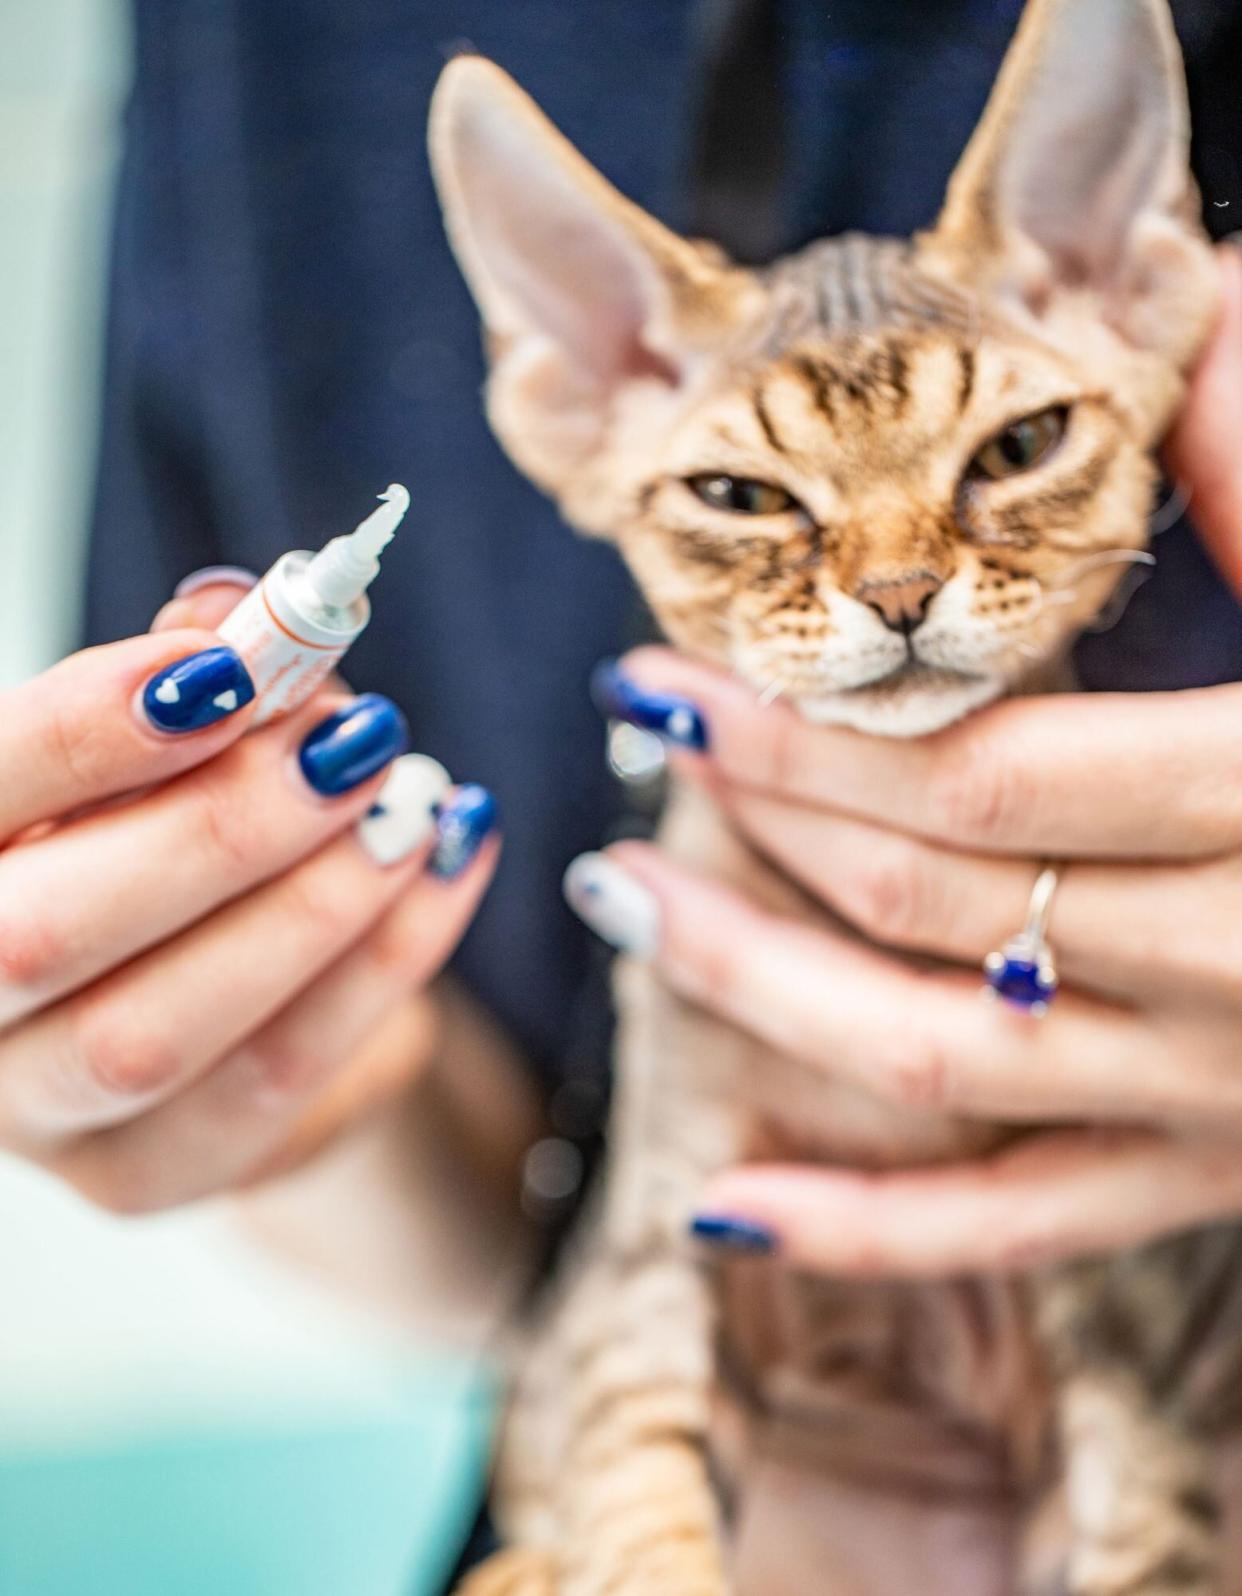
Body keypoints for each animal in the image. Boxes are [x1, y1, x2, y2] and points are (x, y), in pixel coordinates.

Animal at [424, 3, 1226, 1596]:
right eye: (741, 497)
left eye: (1018, 449)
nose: (901, 593)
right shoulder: (649, 1259)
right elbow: (637, 1516)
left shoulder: (1139, 1352)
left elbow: (1146, 1546)